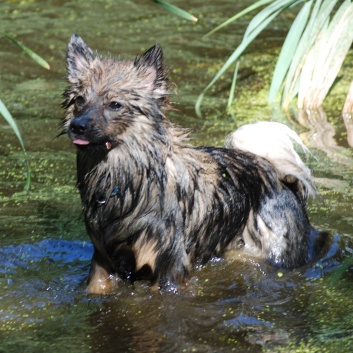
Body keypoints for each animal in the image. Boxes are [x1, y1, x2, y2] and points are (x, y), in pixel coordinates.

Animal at [62, 35, 314, 294]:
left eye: (114, 104)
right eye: (80, 100)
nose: (77, 126)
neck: (124, 180)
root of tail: (278, 176)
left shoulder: (169, 266)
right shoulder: (102, 263)